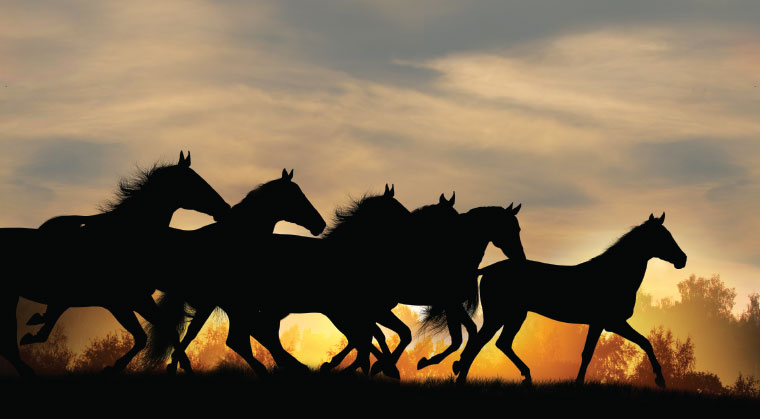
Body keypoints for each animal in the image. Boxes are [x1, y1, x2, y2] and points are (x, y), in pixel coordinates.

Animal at [0, 151, 230, 376]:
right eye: (196, 182)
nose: (225, 208)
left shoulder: (139, 299)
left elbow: (166, 330)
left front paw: (181, 367)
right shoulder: (119, 303)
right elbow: (144, 337)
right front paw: (114, 367)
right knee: (9, 346)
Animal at [452, 213, 687, 388]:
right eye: (663, 236)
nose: (682, 259)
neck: (614, 274)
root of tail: (488, 269)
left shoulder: (604, 324)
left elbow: (632, 344)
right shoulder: (610, 322)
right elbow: (623, 346)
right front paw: (660, 379)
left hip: (515, 316)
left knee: (501, 343)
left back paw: (525, 376)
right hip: (499, 316)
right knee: (478, 342)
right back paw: (461, 378)